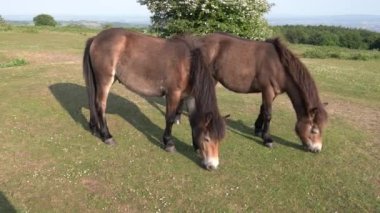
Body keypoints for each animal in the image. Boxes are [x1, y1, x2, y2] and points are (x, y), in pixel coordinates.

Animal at [83, 28, 224, 170]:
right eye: (207, 138)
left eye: (219, 139)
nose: (213, 165)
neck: (188, 63)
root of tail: (96, 38)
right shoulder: (173, 94)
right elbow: (170, 118)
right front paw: (169, 144)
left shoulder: (189, 96)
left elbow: (193, 121)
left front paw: (195, 146)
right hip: (105, 80)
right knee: (100, 105)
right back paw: (107, 136)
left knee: (93, 102)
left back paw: (95, 129)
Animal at [180, 33, 326, 152]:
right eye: (314, 129)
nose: (317, 149)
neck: (278, 66)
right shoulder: (267, 90)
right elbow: (268, 114)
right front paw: (267, 139)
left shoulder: (271, 93)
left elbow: (262, 110)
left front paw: (258, 130)